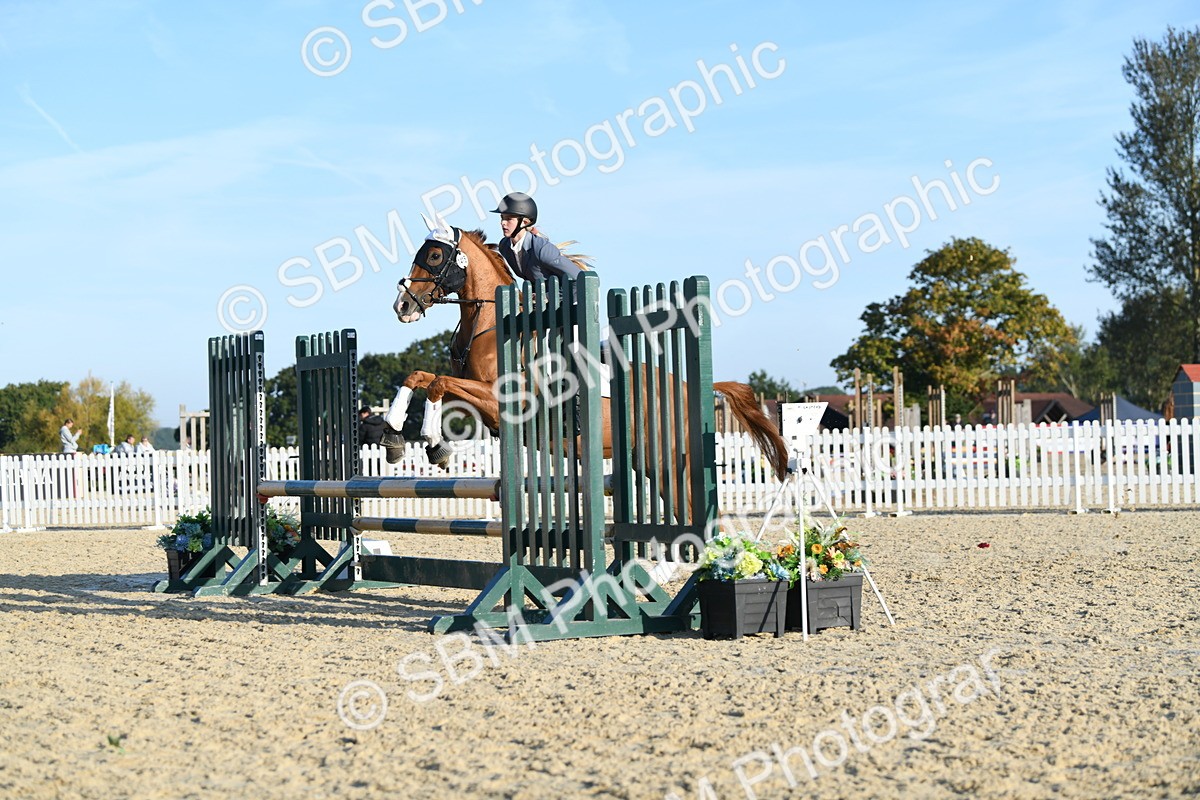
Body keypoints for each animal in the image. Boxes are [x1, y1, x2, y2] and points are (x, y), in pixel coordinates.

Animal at [387, 219, 790, 484]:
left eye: (435, 256)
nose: (402, 306)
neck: (486, 325)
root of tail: (693, 388)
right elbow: (420, 376)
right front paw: (393, 435)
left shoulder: (502, 400)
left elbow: (438, 383)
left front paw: (434, 444)